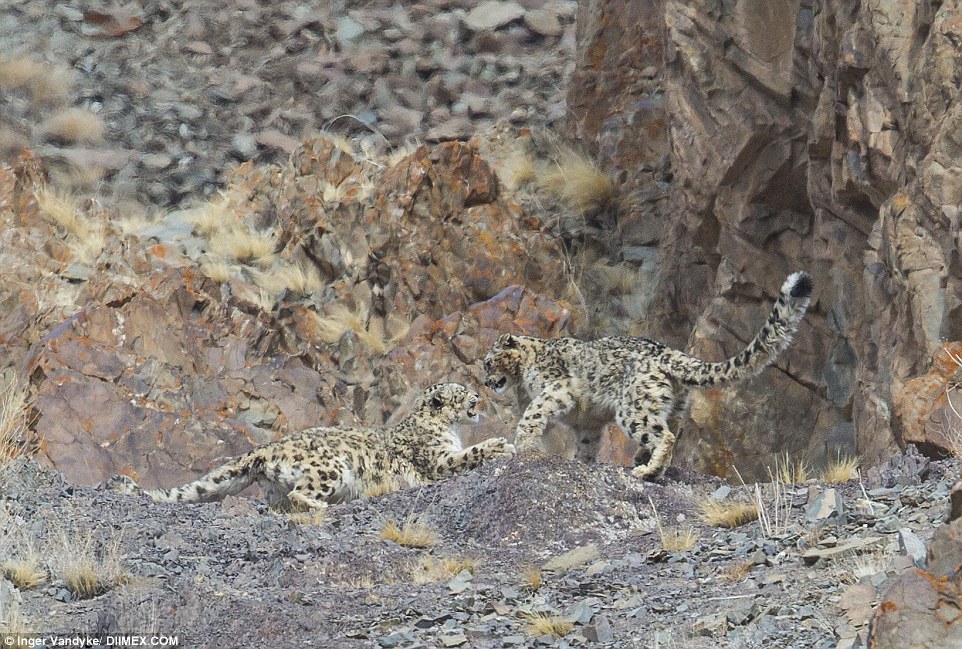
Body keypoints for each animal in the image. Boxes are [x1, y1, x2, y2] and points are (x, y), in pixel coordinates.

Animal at [108, 382, 512, 508]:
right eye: (460, 392)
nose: (478, 395)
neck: (450, 430)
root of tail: (264, 449)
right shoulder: (437, 460)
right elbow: (466, 456)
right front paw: (502, 445)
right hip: (332, 468)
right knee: (300, 495)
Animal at [480, 270, 808, 478]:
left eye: (487, 363)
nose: (485, 382)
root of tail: (670, 352)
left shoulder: (556, 388)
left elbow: (533, 413)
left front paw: (523, 445)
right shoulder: (587, 424)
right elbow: (586, 442)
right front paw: (583, 461)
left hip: (632, 407)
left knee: (665, 436)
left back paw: (647, 471)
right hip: (672, 406)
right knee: (669, 429)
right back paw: (642, 459)